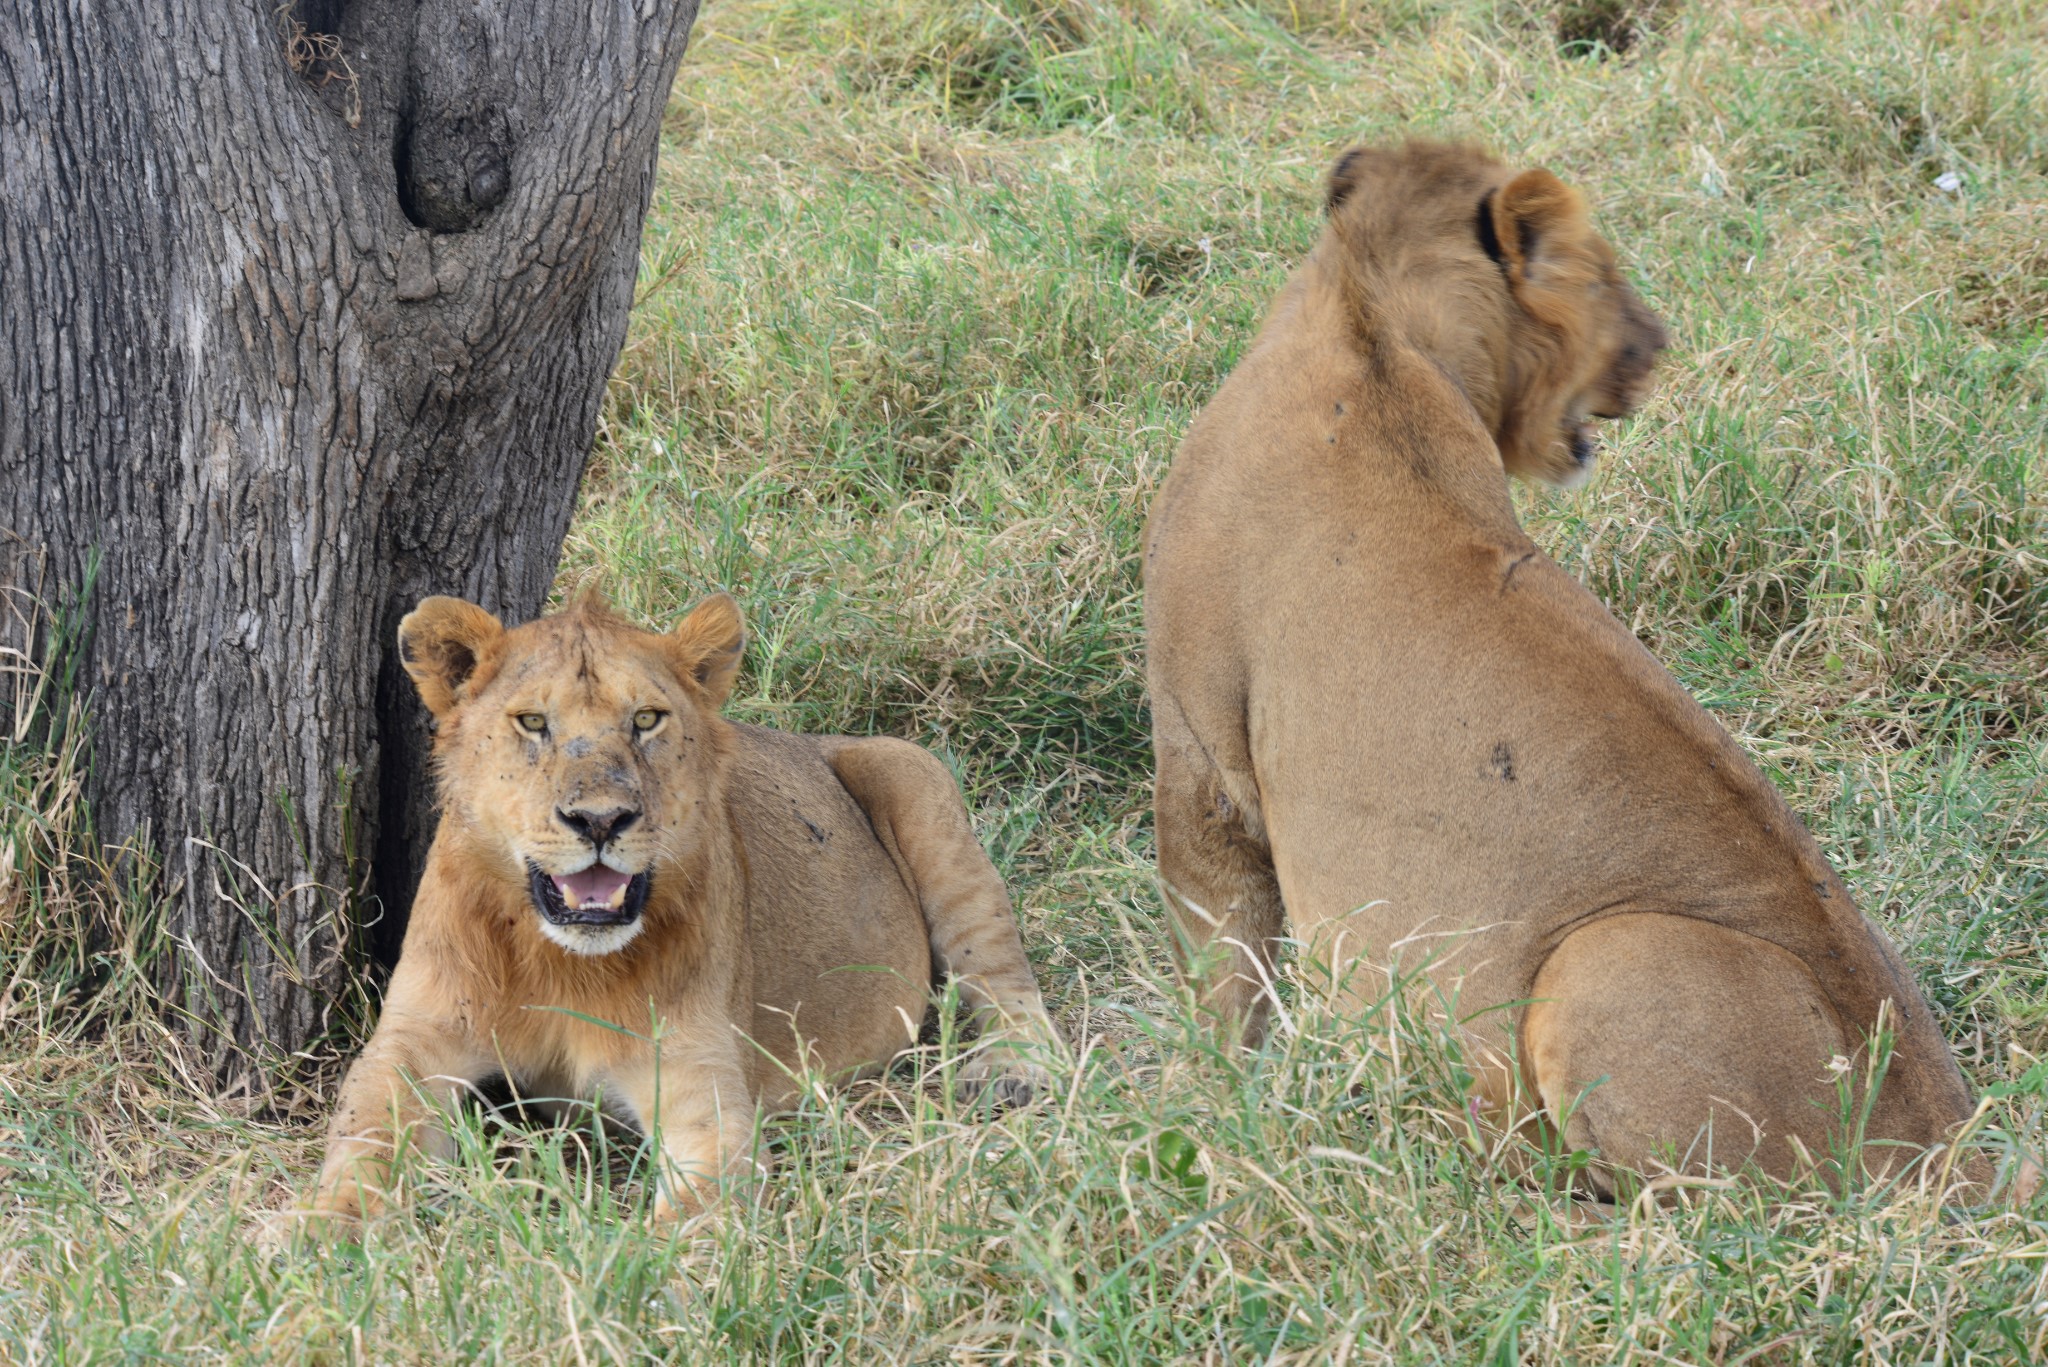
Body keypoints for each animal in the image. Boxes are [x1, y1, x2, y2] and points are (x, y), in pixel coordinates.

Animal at [315, 594, 1073, 1221]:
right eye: (532, 722)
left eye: (647, 719)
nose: (600, 820)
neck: (561, 963)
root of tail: (819, 739)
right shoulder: (411, 1044)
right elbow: (361, 1144)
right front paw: (318, 1249)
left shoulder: (699, 1085)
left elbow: (688, 1227)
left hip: (914, 780)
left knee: (1006, 978)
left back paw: (1013, 1074)